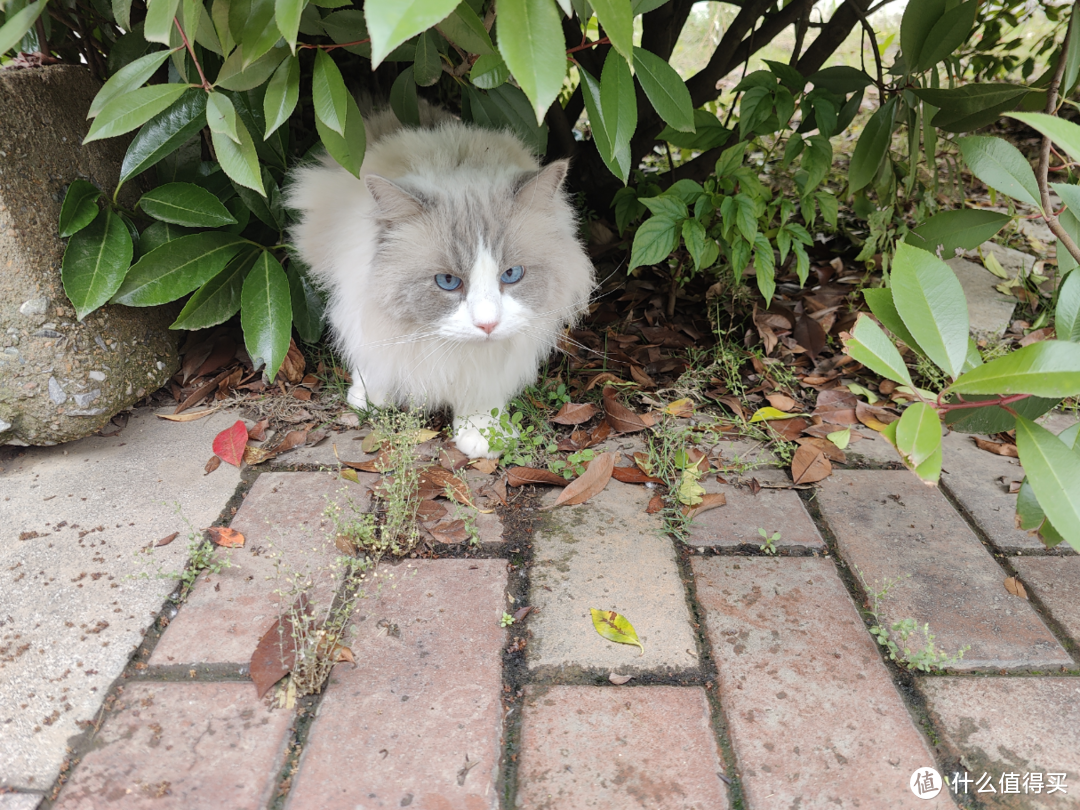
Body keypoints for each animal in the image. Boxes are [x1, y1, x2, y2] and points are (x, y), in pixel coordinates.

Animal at [287, 105, 596, 460]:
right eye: (448, 281)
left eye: (511, 275)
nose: (488, 325)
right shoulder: (365, 306)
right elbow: (373, 354)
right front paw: (369, 397)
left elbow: (482, 393)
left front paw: (484, 433)